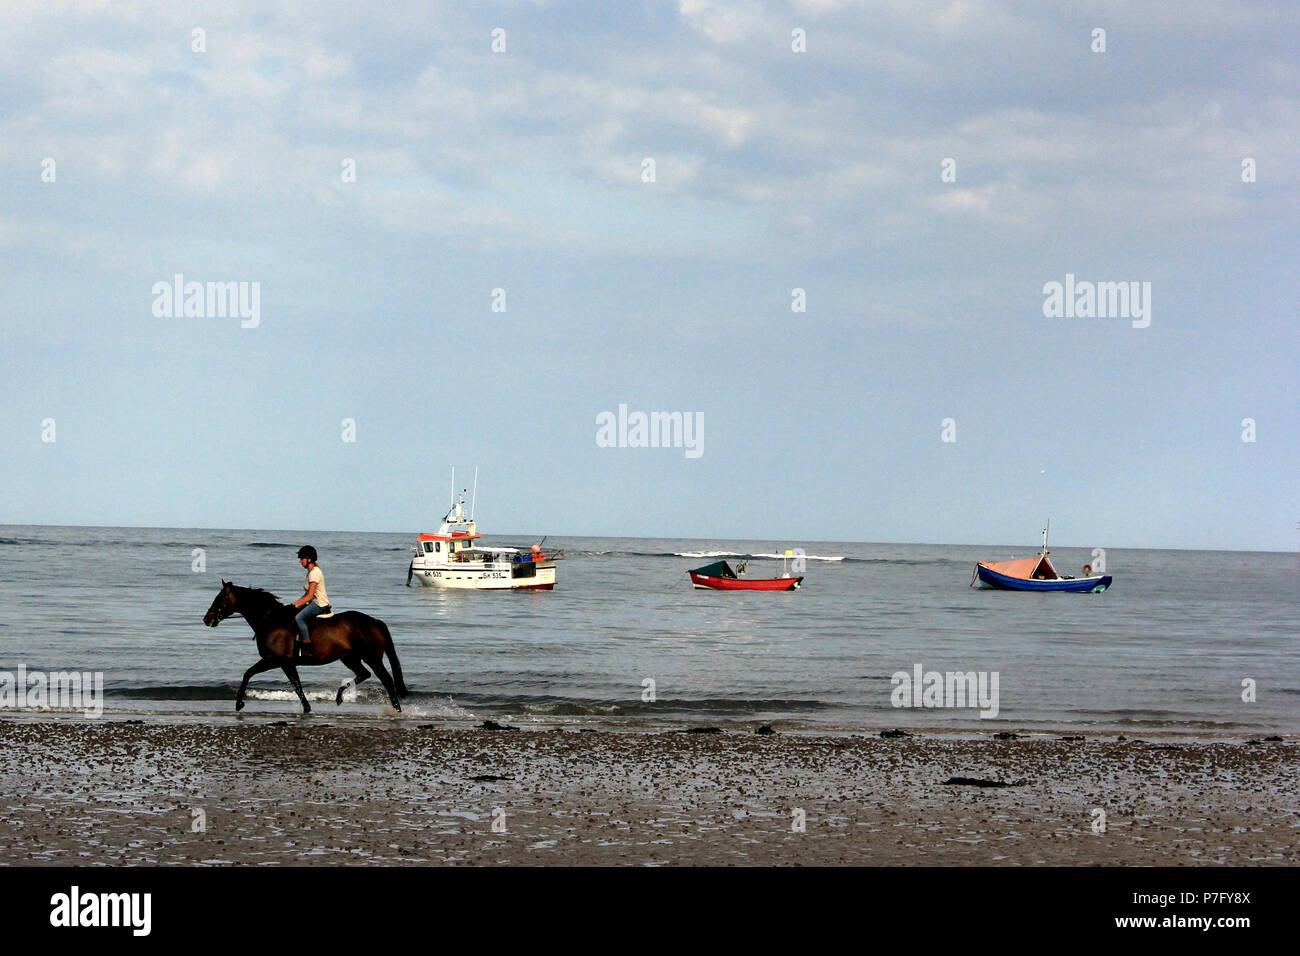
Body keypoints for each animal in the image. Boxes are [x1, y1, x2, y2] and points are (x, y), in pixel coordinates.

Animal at [202, 580, 408, 712]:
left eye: (220, 599)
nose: (207, 619)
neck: (270, 620)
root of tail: (375, 622)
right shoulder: (287, 663)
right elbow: (297, 685)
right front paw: (307, 709)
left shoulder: (273, 660)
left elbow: (248, 673)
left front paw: (239, 704)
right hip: (349, 658)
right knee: (364, 674)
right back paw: (339, 696)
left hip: (372, 657)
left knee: (387, 680)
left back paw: (397, 709)